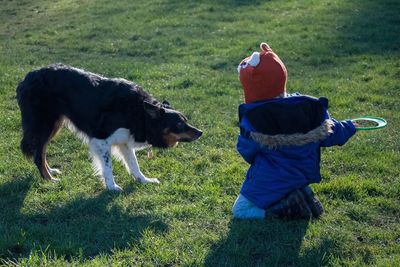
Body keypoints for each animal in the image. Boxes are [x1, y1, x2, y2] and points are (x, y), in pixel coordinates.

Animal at [16, 63, 202, 192]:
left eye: (186, 120)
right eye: (179, 124)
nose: (201, 132)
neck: (139, 113)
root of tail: (25, 78)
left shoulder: (124, 141)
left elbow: (134, 164)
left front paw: (144, 180)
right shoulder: (101, 140)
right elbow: (107, 166)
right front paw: (112, 187)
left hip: (54, 124)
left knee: (41, 151)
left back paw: (51, 172)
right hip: (44, 124)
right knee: (37, 154)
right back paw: (49, 181)